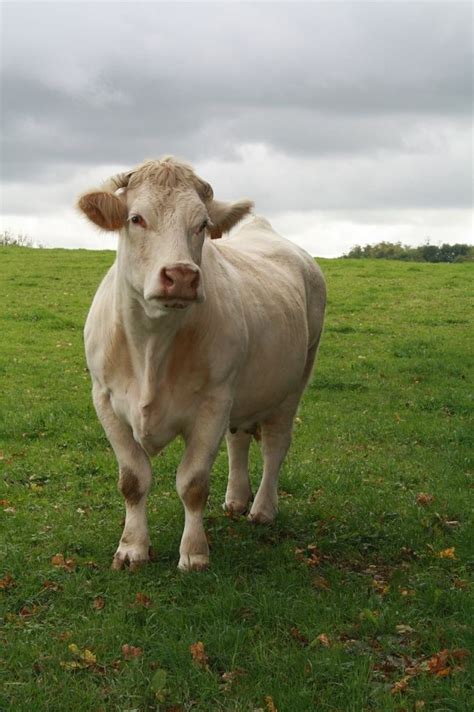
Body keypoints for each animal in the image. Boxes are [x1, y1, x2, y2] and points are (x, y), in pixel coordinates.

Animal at [79, 157, 328, 572]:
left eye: (202, 225)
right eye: (136, 218)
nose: (181, 275)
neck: (151, 346)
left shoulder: (213, 402)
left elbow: (193, 483)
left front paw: (194, 552)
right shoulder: (105, 399)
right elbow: (132, 480)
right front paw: (132, 548)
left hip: (295, 380)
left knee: (275, 444)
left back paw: (262, 508)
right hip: (243, 394)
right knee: (238, 439)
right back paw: (237, 499)